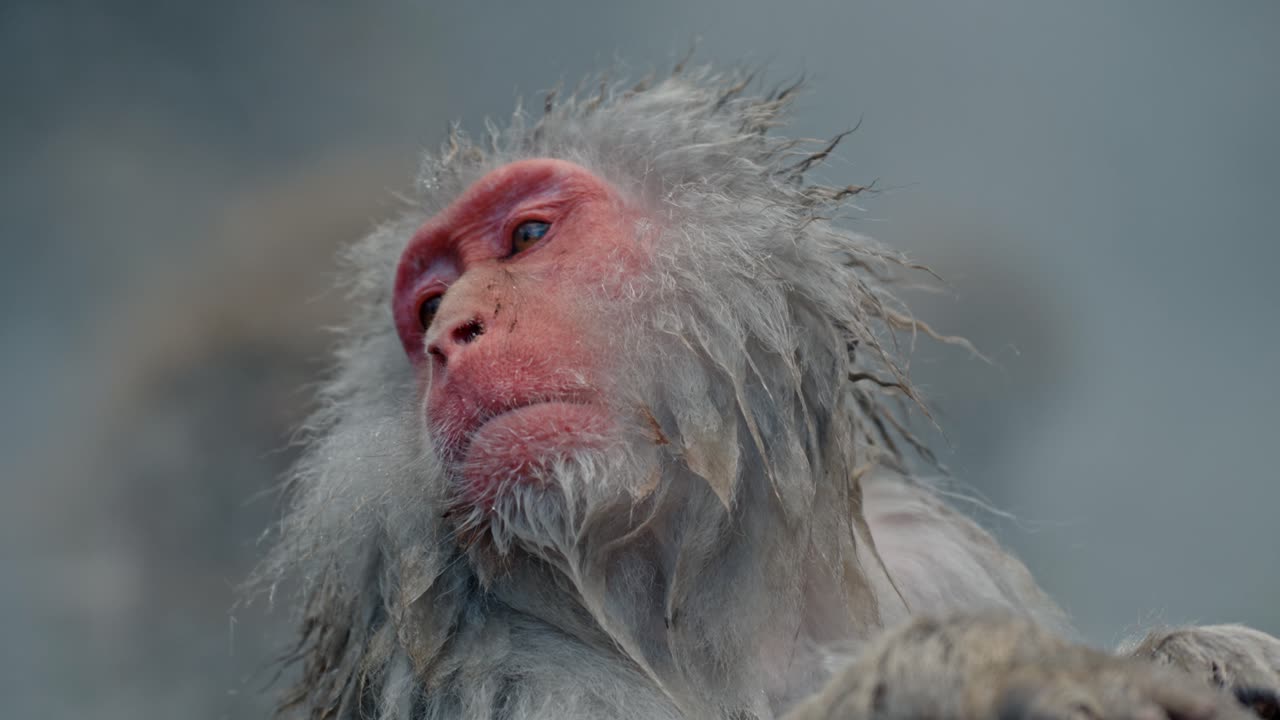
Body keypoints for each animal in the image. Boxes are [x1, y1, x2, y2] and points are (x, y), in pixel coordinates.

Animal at [258, 67, 1280, 720]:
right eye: (428, 304)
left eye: (528, 236)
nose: (449, 336)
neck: (701, 613)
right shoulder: (490, 674)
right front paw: (973, 664)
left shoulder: (936, 556)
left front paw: (1194, 655)